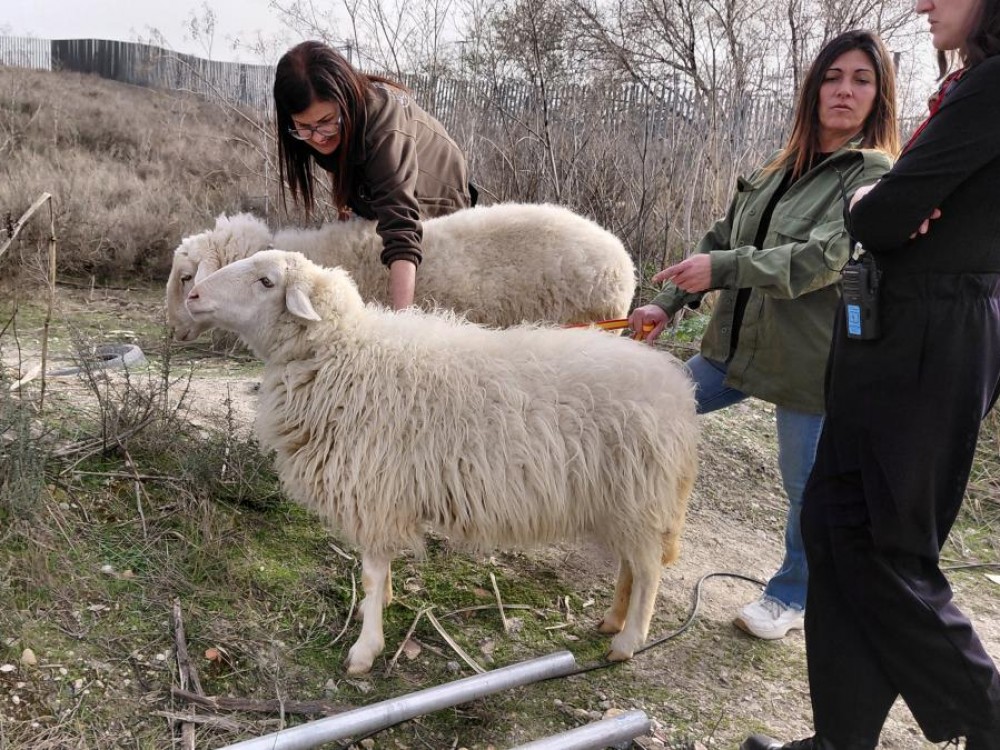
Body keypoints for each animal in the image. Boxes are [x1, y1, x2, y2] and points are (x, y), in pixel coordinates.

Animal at [184, 250, 698, 675]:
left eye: (266, 281)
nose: (192, 295)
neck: (345, 356)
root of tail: (676, 388)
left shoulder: (375, 489)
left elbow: (370, 574)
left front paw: (365, 648)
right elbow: (378, 575)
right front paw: (380, 604)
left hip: (638, 493)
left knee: (648, 571)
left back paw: (628, 641)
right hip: (622, 501)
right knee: (631, 564)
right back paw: (612, 620)